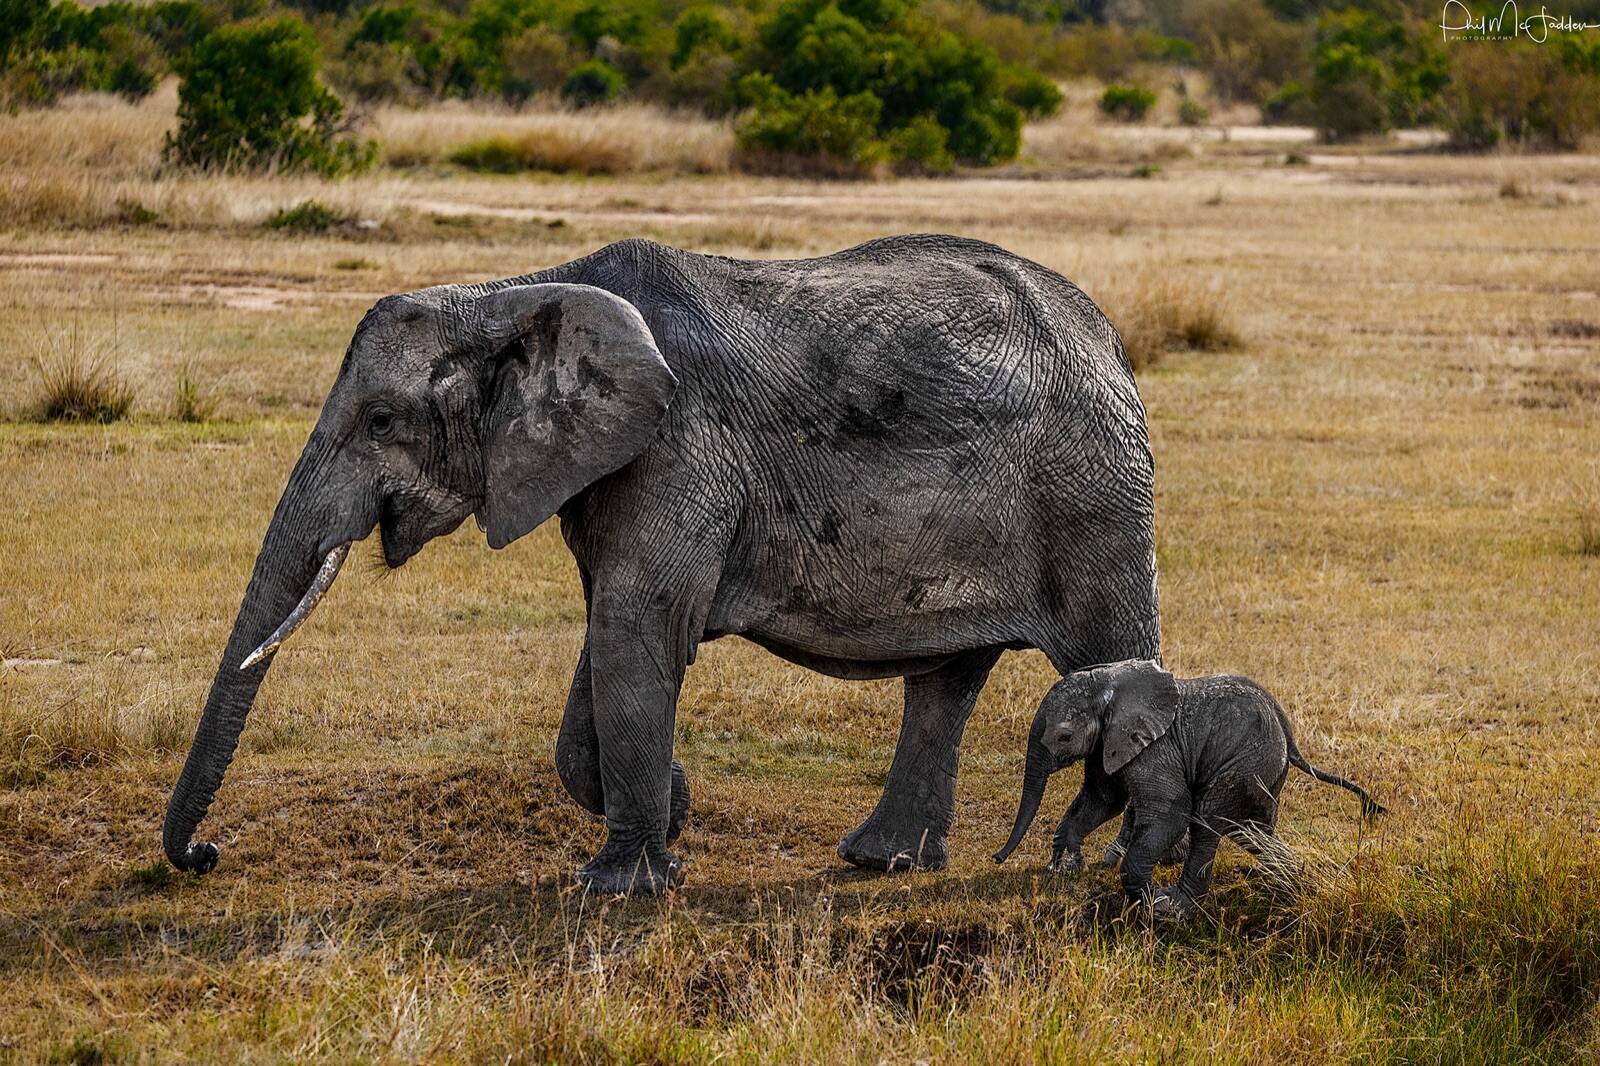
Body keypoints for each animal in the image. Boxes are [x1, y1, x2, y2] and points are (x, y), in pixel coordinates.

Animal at [162, 234, 1163, 896]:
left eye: (379, 420)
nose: (206, 857)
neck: (515, 294)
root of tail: (1108, 335)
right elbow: (608, 639)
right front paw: (671, 818)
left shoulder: (680, 450)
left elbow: (637, 630)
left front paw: (621, 887)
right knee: (944, 680)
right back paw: (880, 860)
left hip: (1095, 491)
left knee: (1108, 651)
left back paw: (1126, 866)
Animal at [993, 660, 1384, 919]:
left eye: (1064, 737)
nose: (996, 858)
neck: (1106, 683)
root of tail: (1285, 726)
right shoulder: (1109, 742)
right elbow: (1101, 801)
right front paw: (1067, 869)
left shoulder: (1156, 749)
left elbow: (1171, 812)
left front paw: (1151, 904)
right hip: (1261, 769)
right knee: (1251, 830)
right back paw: (1291, 882)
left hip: (1248, 760)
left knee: (1207, 820)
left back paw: (1176, 907)